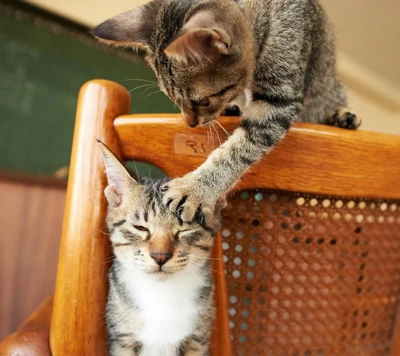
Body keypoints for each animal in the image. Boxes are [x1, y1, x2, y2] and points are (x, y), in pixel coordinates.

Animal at [94, 0, 360, 225]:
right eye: (172, 99)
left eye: (201, 101)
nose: (190, 123)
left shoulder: (280, 98)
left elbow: (237, 150)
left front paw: (196, 188)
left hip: (330, 89)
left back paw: (344, 116)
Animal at [98, 143, 223, 356]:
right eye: (140, 228)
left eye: (184, 230)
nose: (160, 256)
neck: (162, 293)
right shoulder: (122, 340)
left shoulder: (197, 341)